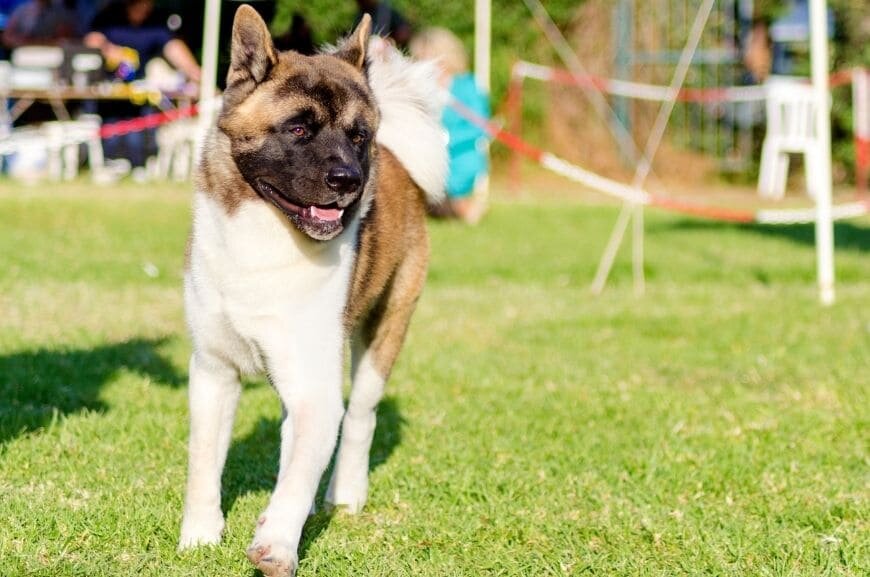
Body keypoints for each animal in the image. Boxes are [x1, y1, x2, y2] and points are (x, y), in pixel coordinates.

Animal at [179, 5, 450, 576]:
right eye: (299, 128)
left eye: (359, 136)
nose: (348, 180)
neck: (267, 235)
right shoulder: (213, 371)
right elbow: (203, 460)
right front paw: (200, 535)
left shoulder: (316, 387)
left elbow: (301, 473)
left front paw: (276, 544)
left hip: (384, 334)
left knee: (360, 418)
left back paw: (344, 495)